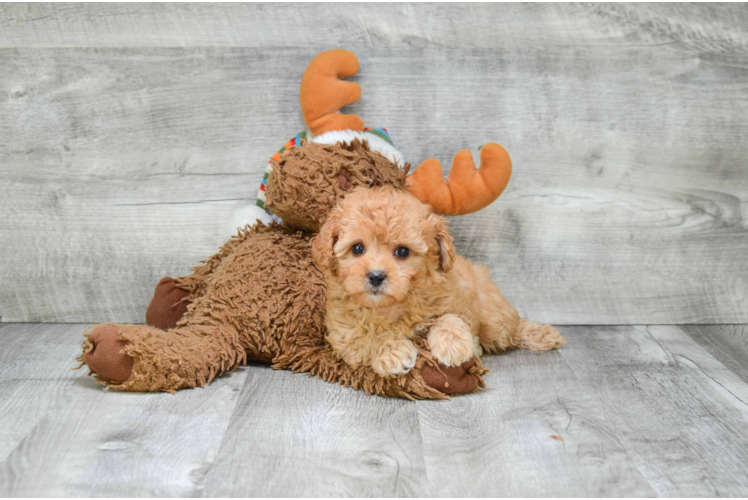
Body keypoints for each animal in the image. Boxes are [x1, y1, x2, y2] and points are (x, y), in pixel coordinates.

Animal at [312, 186, 564, 376]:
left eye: (402, 252)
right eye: (357, 248)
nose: (376, 276)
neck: (390, 306)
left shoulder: (457, 300)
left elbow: (450, 317)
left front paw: (452, 344)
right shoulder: (342, 334)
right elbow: (367, 337)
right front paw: (392, 351)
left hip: (493, 317)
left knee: (512, 328)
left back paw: (542, 335)